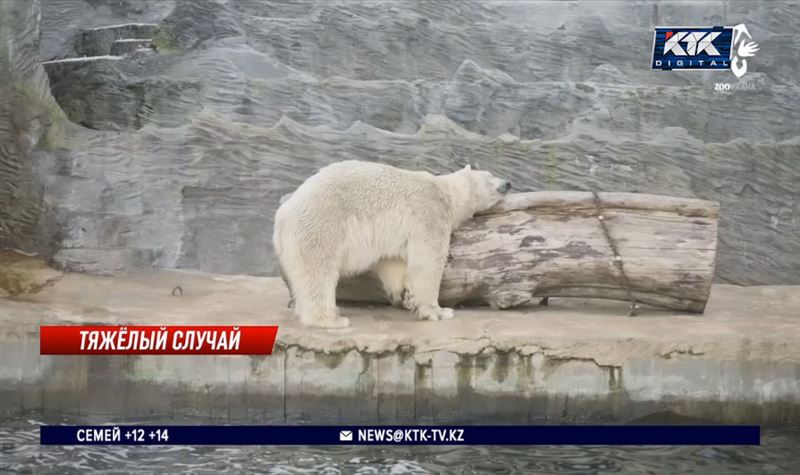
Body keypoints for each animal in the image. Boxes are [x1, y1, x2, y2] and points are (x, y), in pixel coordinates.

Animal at [272, 162, 510, 330]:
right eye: (490, 175)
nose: (508, 183)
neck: (446, 190)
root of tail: (282, 216)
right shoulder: (430, 212)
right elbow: (428, 259)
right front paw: (438, 311)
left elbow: (391, 261)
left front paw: (406, 293)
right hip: (320, 227)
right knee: (318, 273)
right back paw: (331, 319)